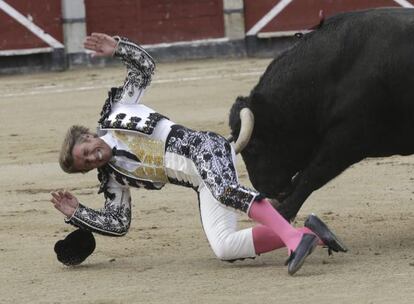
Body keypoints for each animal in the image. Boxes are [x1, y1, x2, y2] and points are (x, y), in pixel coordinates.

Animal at [228, 7, 414, 221]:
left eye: (254, 147)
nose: (266, 191)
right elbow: (303, 175)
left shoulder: (348, 138)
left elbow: (312, 175)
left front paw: (282, 214)